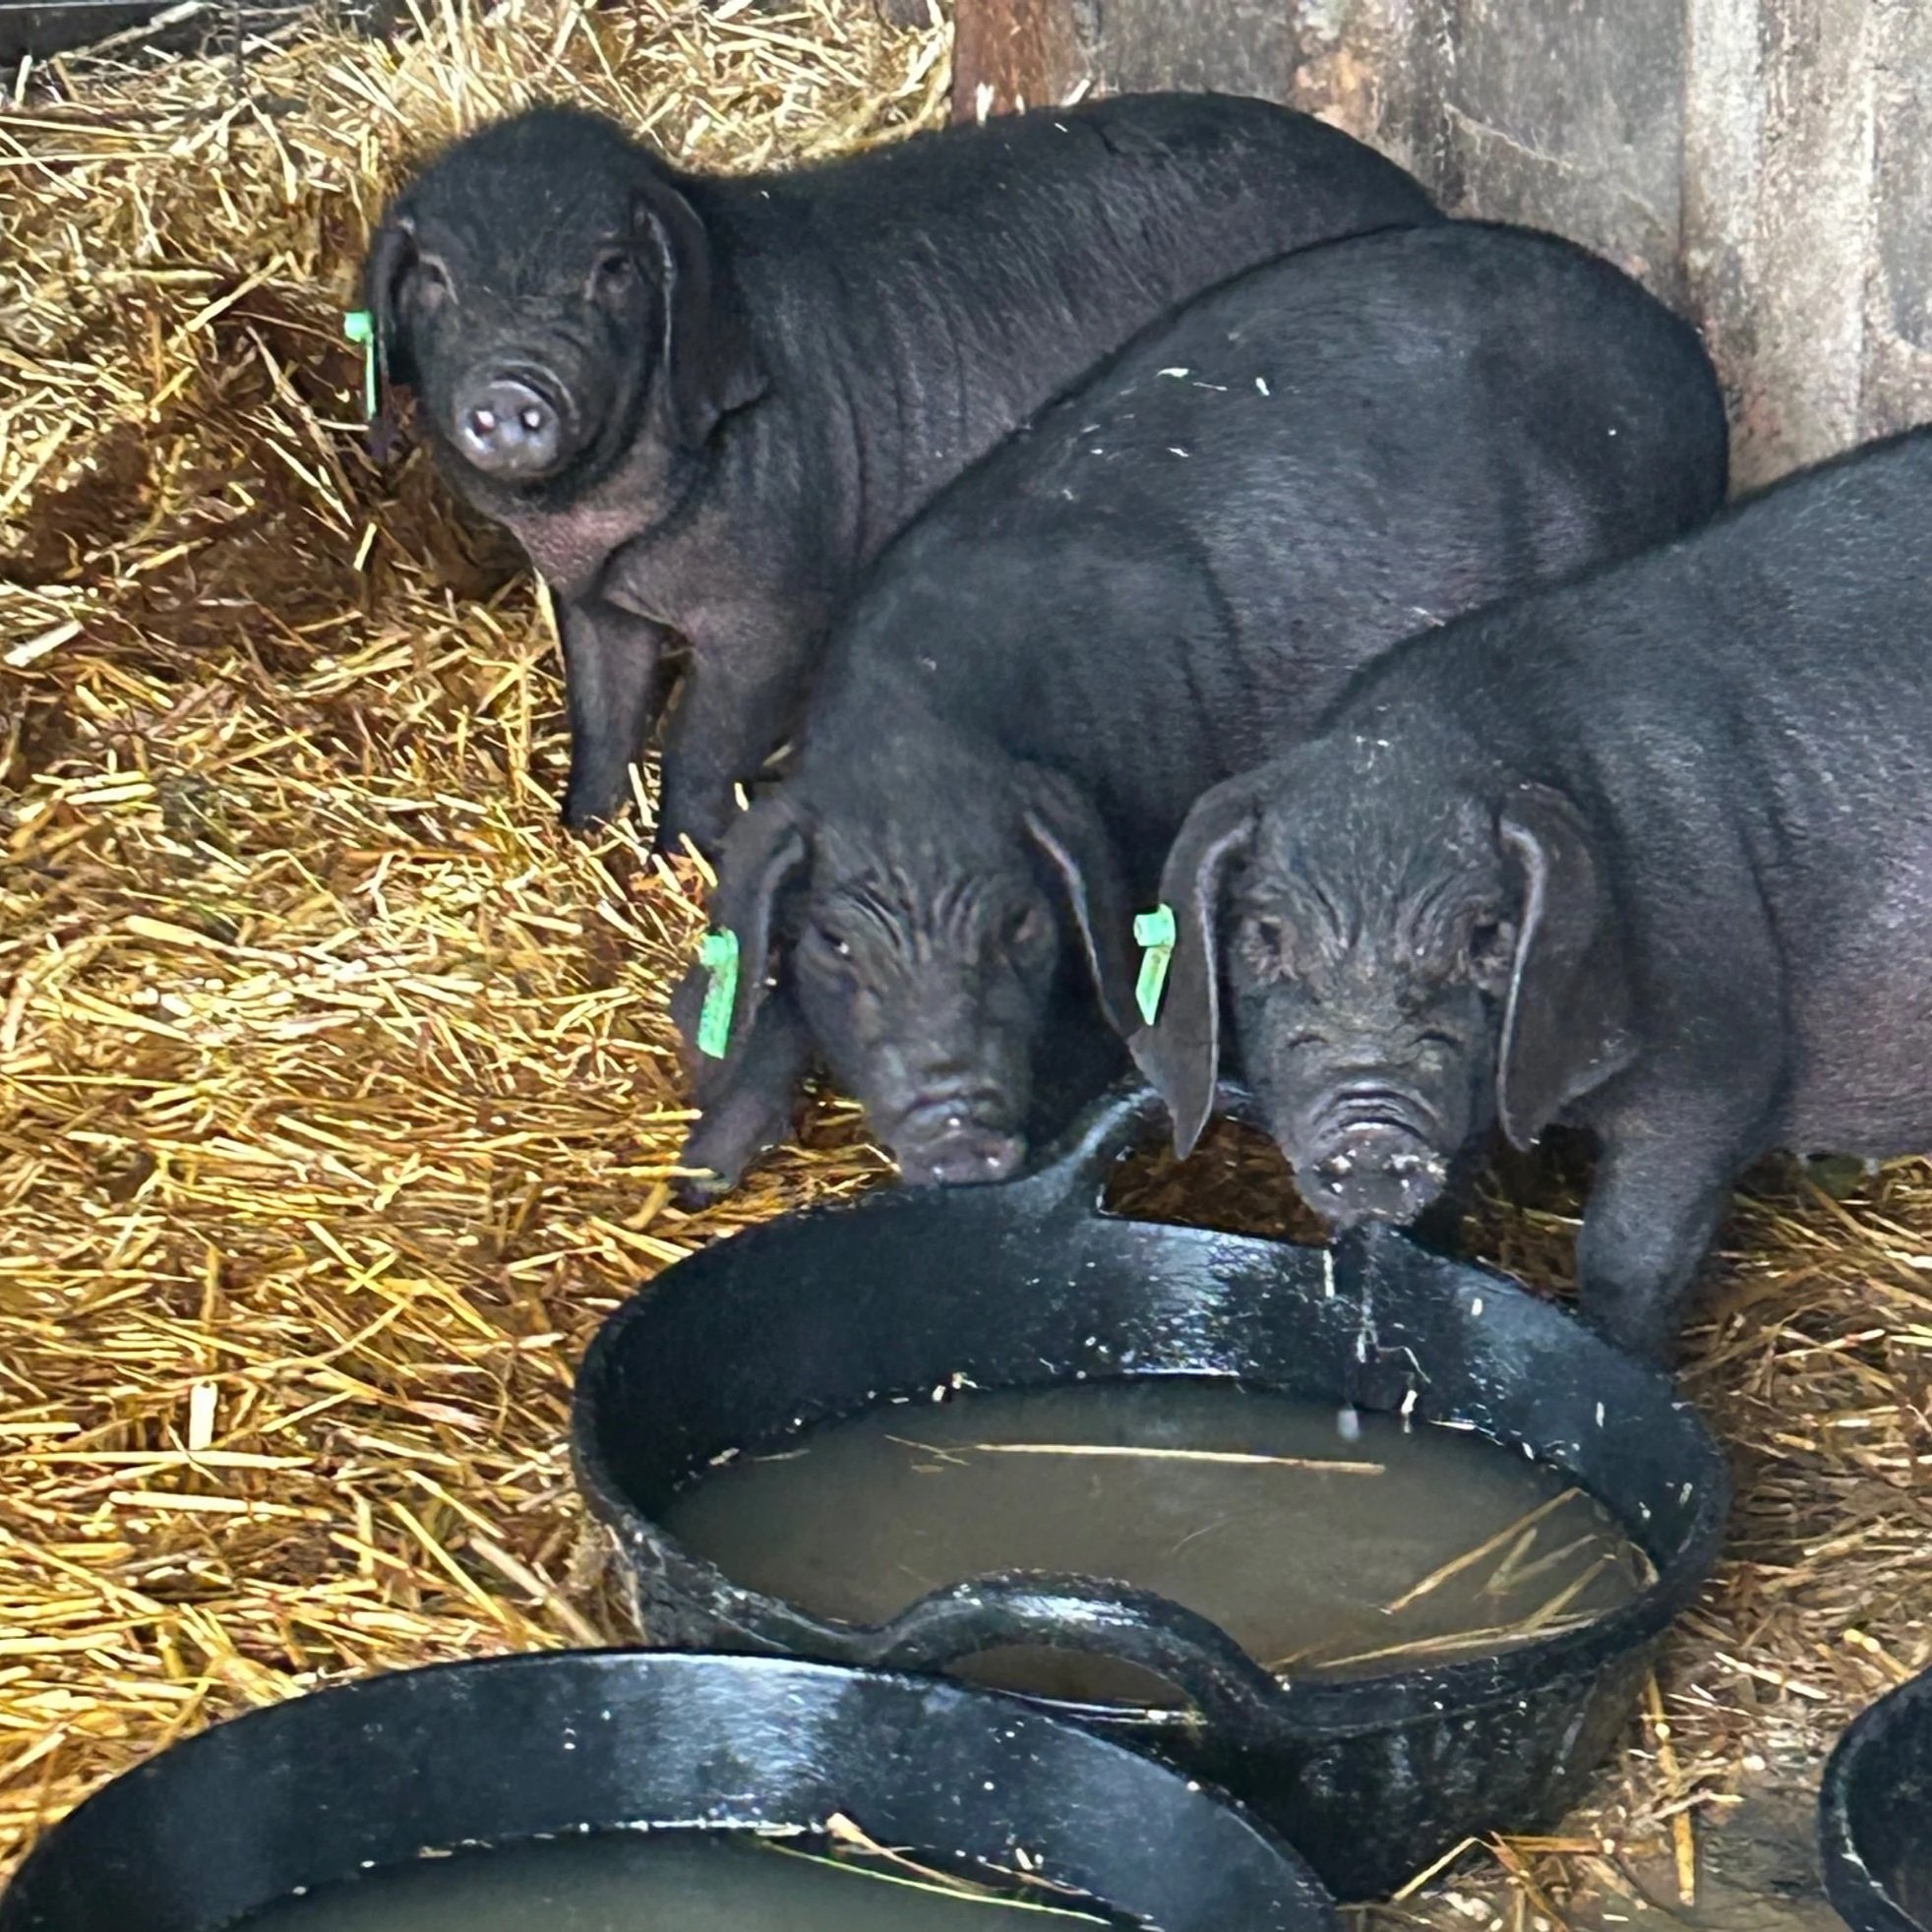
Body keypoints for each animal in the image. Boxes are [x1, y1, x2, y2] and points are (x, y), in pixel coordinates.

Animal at [359, 97, 1441, 856]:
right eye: (436, 279)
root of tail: (1420, 200)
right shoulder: (593, 601)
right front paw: (579, 836)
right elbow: (601, 717)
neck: (599, 521)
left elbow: (703, 747)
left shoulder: (775, 610)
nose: (513, 386)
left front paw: (679, 862)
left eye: (613, 270)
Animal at [670, 220, 1730, 1196]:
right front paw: (703, 1169)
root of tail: (1679, 351)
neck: (919, 722)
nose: (957, 1133)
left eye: (1019, 924)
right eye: (835, 939)